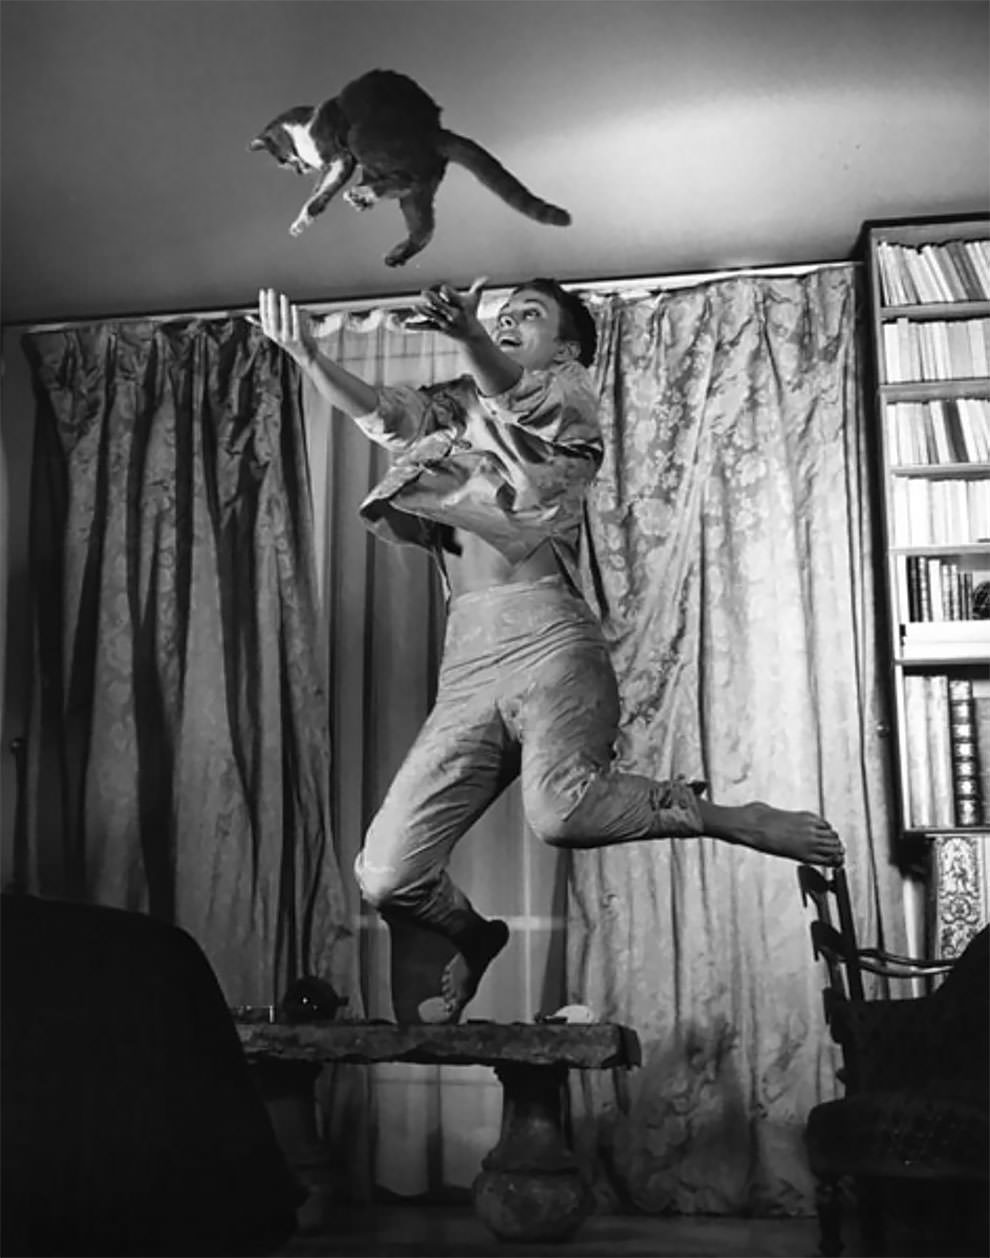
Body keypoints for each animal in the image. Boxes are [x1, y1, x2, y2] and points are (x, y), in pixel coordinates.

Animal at [247, 68, 573, 265]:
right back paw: (392, 245)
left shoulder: (339, 156)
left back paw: (364, 195)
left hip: (363, 137)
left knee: (405, 180)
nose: (299, 170)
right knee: (423, 224)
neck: (304, 127)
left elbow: (319, 193)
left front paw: (303, 218)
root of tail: (432, 130)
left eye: (283, 161)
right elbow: (323, 190)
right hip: (421, 189)